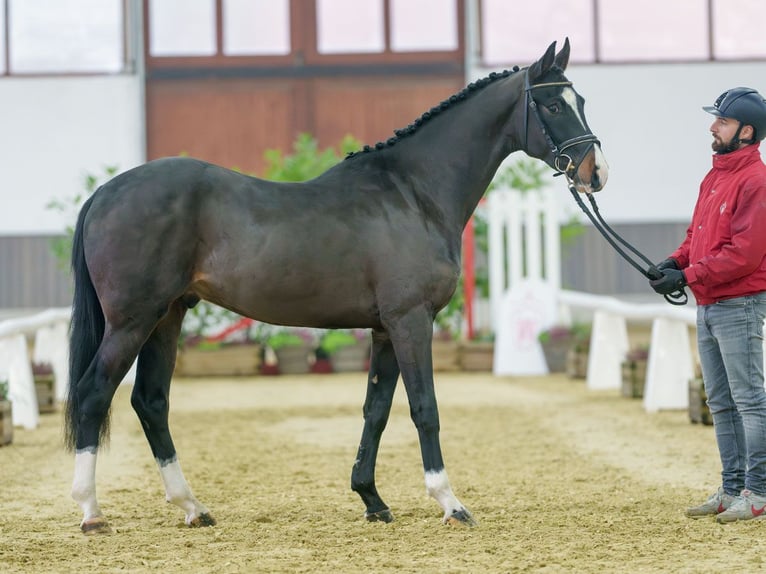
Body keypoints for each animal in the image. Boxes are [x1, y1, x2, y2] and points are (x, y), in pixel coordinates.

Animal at [66, 39, 608, 536]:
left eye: (579, 99)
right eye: (554, 105)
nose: (595, 172)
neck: (414, 193)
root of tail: (104, 192)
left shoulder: (385, 329)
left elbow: (376, 410)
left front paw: (372, 500)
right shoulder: (411, 320)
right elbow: (424, 408)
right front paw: (450, 503)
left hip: (168, 315)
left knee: (150, 401)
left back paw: (192, 507)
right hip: (133, 320)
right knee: (94, 393)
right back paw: (92, 512)